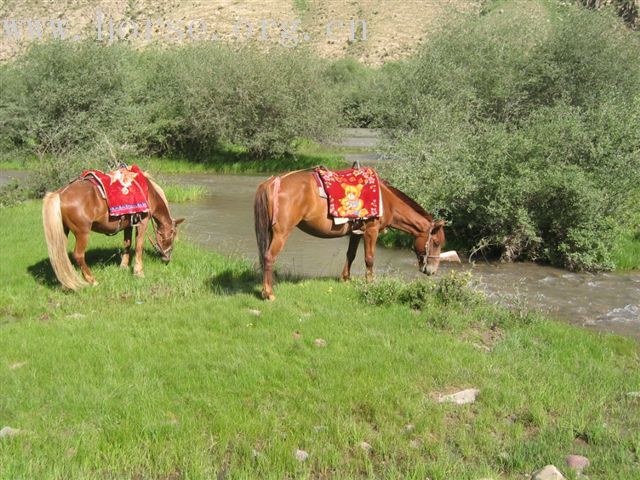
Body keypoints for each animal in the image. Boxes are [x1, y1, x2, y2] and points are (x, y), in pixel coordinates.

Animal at [42, 175, 182, 290]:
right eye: (173, 233)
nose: (166, 258)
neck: (148, 192)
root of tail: (60, 193)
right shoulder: (142, 222)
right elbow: (139, 246)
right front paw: (139, 272)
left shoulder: (128, 224)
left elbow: (127, 243)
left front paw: (124, 266)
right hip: (82, 233)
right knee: (78, 255)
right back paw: (92, 281)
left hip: (63, 231)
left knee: (60, 255)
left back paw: (66, 282)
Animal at [252, 169, 452, 300]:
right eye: (435, 242)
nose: (432, 270)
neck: (386, 200)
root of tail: (274, 181)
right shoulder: (371, 231)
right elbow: (369, 259)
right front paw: (370, 282)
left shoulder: (356, 233)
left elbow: (351, 254)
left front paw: (346, 279)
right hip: (282, 233)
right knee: (269, 257)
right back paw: (269, 293)